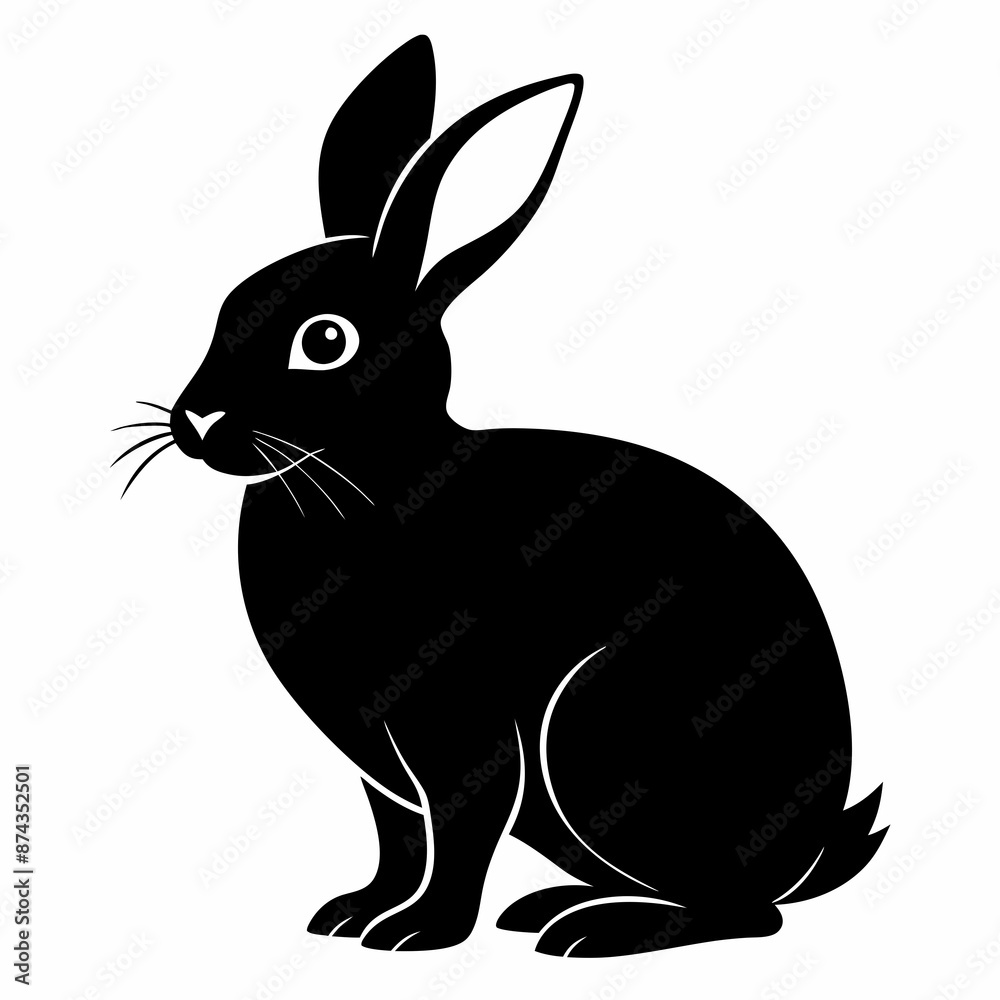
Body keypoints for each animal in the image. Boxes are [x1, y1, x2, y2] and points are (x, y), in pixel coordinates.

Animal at [120, 35, 887, 957]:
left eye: (325, 341)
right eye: (227, 305)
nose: (197, 419)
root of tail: (806, 850)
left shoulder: (461, 728)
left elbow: (458, 831)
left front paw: (416, 934)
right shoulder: (381, 769)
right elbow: (398, 838)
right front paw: (353, 915)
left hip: (598, 737)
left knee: (746, 912)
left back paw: (591, 931)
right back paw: (548, 907)